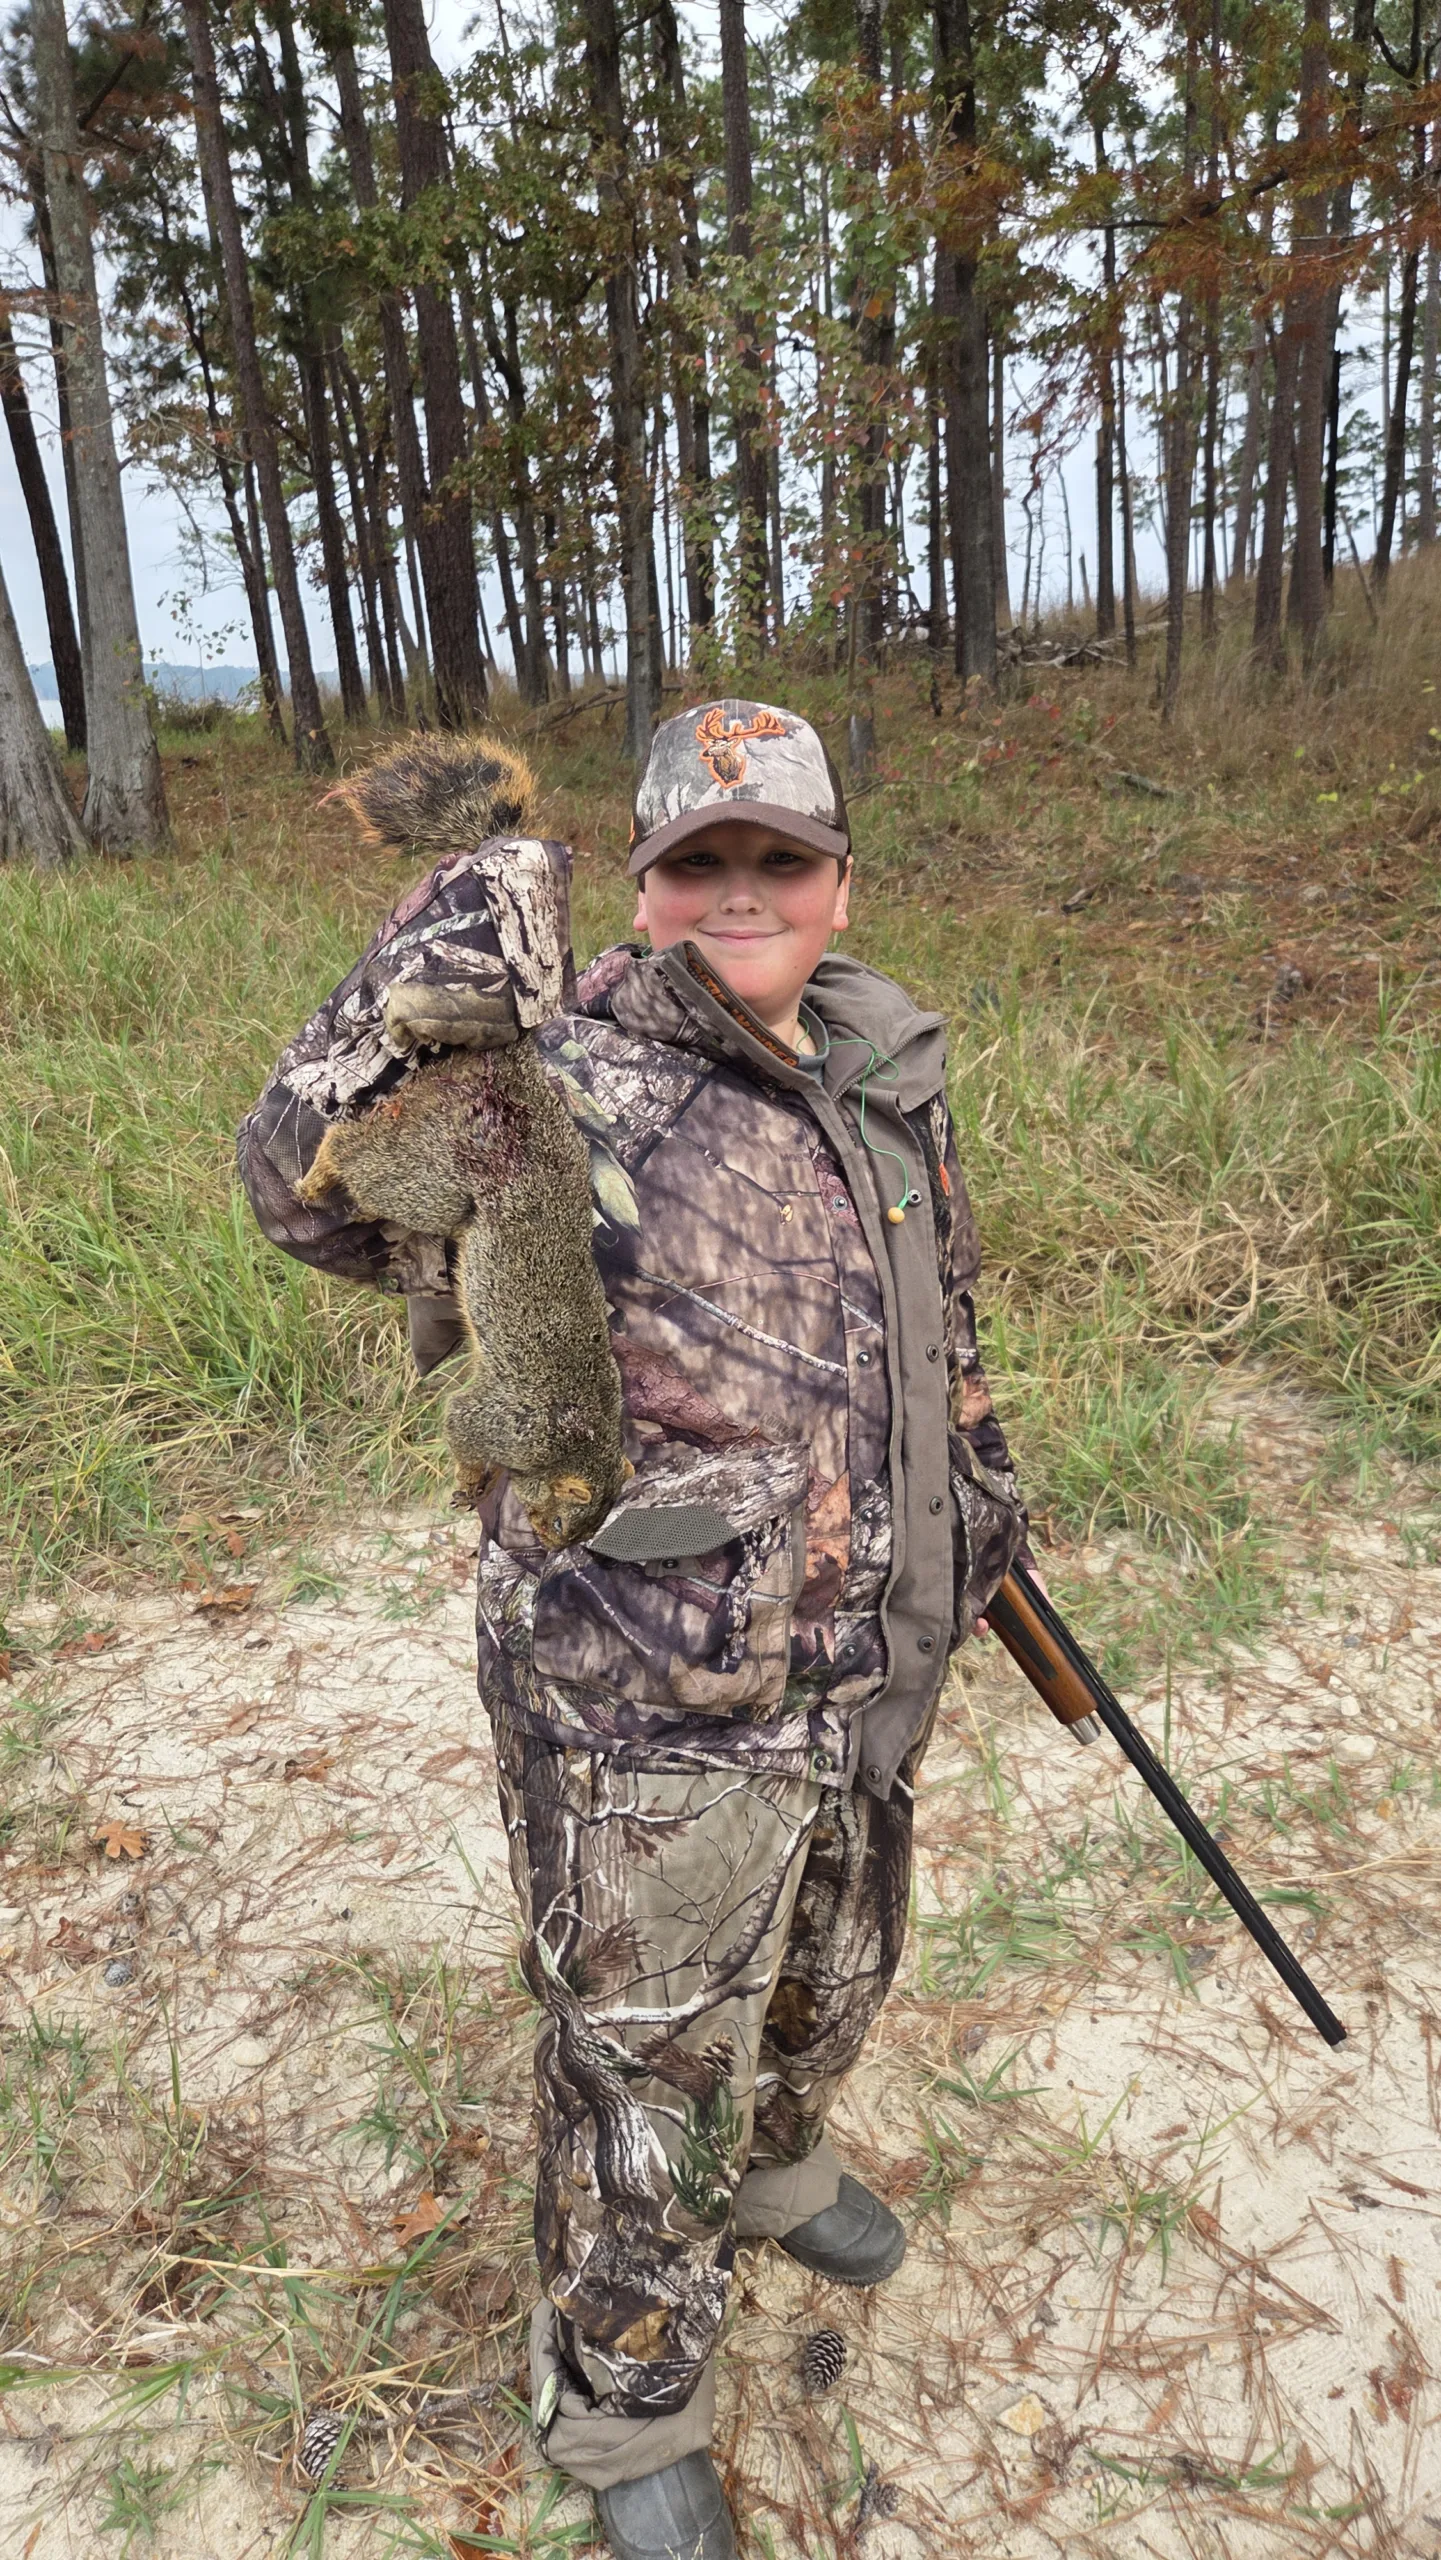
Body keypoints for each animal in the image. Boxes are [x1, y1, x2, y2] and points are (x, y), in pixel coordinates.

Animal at [296, 735, 626, 1551]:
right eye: (559, 1514)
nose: (547, 1544)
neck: (583, 1440)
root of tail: (511, 1065)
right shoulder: (513, 1423)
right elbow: (463, 1425)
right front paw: (473, 1481)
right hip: (435, 1176)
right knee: (357, 1152)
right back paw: (320, 1176)